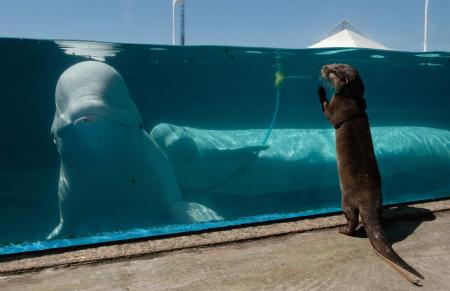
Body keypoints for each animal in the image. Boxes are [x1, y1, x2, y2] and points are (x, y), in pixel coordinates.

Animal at [318, 63, 424, 286]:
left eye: (333, 70)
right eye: (333, 64)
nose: (323, 66)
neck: (351, 99)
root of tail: (368, 200)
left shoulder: (338, 107)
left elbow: (329, 115)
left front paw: (321, 91)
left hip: (346, 199)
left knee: (352, 219)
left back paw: (344, 230)